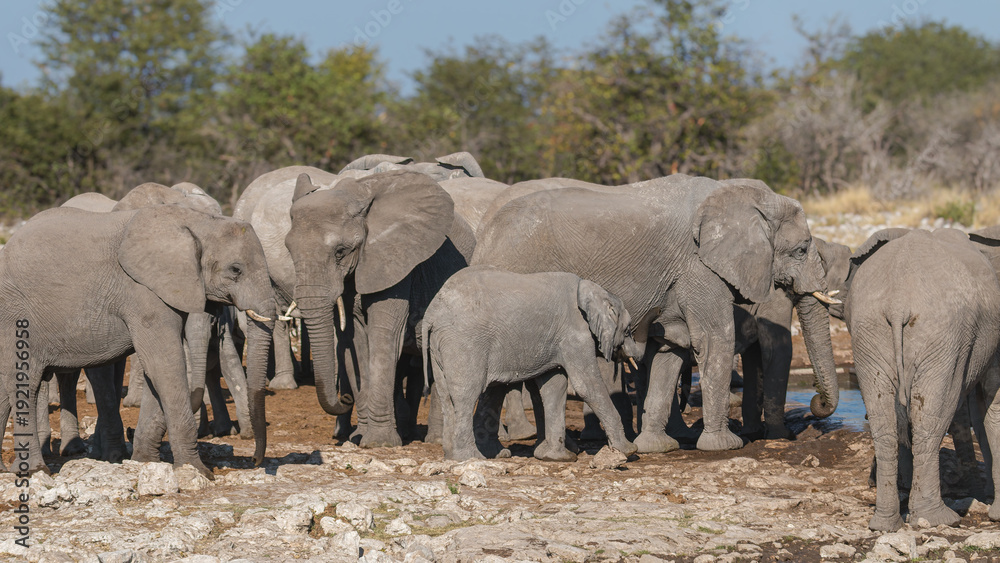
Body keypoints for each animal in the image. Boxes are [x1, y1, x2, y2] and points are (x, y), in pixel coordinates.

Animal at [0, 205, 274, 477]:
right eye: (235, 270)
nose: (255, 460)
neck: (198, 221)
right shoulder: (142, 292)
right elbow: (163, 365)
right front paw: (196, 471)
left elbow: (157, 371)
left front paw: (145, 462)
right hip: (16, 316)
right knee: (26, 383)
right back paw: (35, 471)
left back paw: (8, 471)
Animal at [284, 169, 475, 447]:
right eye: (289, 250)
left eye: (340, 251)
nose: (344, 399)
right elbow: (353, 341)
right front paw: (358, 438)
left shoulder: (396, 262)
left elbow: (383, 338)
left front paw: (379, 443)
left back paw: (436, 441)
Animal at [422, 266, 641, 461]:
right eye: (628, 329)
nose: (636, 354)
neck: (590, 288)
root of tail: (432, 312)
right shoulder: (575, 333)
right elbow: (586, 386)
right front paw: (628, 451)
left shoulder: (555, 339)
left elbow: (553, 387)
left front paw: (556, 457)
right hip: (465, 342)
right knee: (466, 394)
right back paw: (470, 458)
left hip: (440, 344)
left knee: (446, 395)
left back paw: (455, 456)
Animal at [472, 175, 833, 454]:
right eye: (801, 250)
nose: (817, 404)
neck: (744, 196)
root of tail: (483, 239)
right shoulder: (699, 266)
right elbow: (714, 338)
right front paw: (725, 446)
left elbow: (672, 346)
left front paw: (657, 448)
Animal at [846, 227, 1000, 530]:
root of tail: (897, 301)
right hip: (945, 335)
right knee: (931, 417)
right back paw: (937, 519)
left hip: (867, 330)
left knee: (883, 421)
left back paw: (884, 524)